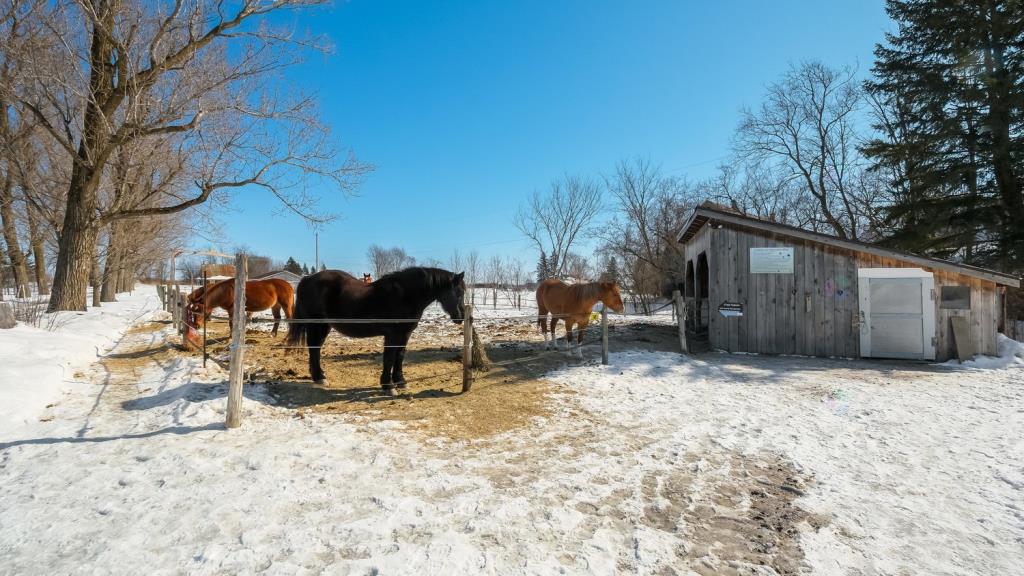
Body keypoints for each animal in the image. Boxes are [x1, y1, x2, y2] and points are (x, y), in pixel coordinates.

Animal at [286, 266, 466, 391]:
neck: (405, 296)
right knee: (313, 347)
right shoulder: (392, 335)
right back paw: (319, 377)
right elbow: (389, 357)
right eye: (459, 292)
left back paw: (319, 376)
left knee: (315, 348)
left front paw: (401, 382)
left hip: (324, 326)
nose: (461, 316)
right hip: (315, 324)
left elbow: (400, 356)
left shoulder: (405, 334)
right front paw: (388, 385)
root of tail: (307, 279)